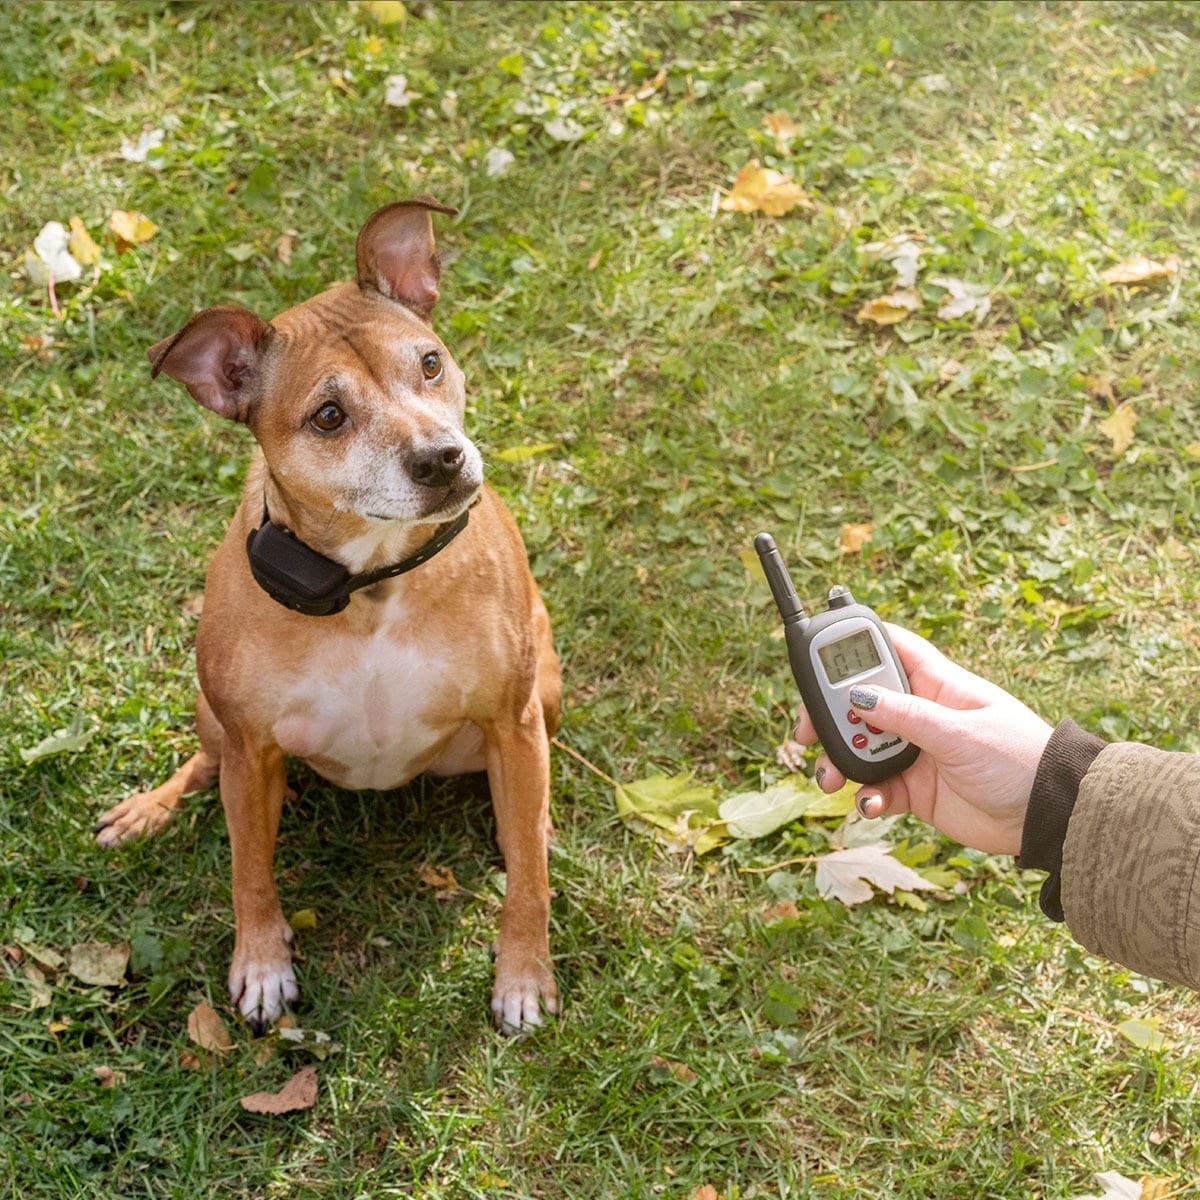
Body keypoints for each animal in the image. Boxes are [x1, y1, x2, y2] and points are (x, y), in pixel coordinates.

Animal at [96, 196, 559, 1032]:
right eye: (329, 416)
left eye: (429, 363)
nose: (442, 458)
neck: (369, 582)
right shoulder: (251, 749)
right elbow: (249, 870)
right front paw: (261, 963)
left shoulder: (513, 721)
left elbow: (528, 884)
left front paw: (523, 973)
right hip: (214, 718)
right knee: (204, 765)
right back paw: (149, 808)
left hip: (542, 694)